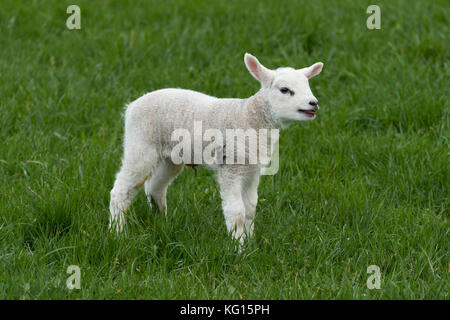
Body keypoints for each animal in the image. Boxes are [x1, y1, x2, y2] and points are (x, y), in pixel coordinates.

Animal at [109, 53, 324, 242]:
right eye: (285, 90)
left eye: (307, 86)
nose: (313, 103)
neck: (248, 116)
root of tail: (131, 106)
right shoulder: (231, 166)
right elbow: (236, 212)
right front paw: (238, 247)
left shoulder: (252, 170)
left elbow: (250, 209)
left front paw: (251, 241)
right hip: (140, 144)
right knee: (121, 190)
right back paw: (117, 232)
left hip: (171, 156)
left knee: (155, 187)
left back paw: (162, 221)